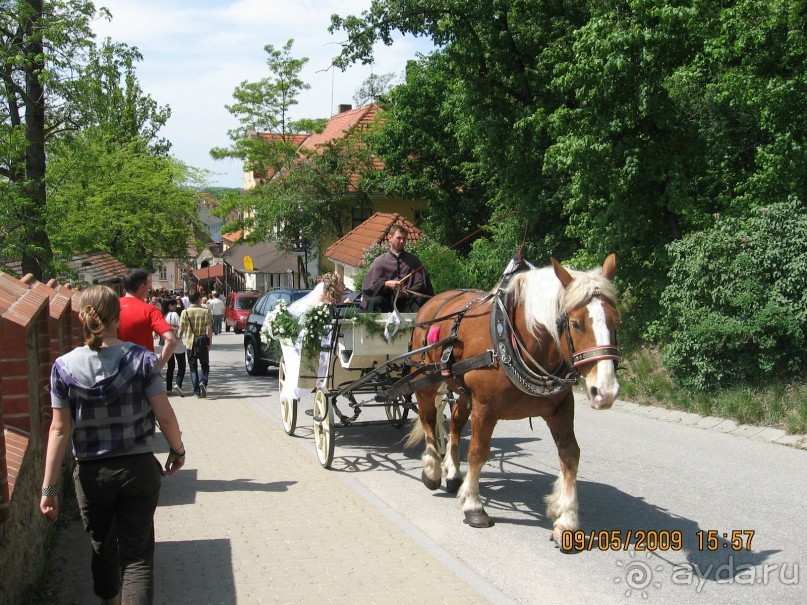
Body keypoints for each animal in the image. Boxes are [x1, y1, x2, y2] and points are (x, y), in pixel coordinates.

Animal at [408, 252, 620, 540]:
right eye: (576, 324)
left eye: (616, 320)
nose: (606, 391)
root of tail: (433, 302)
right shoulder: (485, 407)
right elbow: (478, 452)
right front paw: (473, 505)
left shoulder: (562, 407)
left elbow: (570, 455)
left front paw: (566, 517)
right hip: (425, 381)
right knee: (429, 418)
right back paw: (432, 469)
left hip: (462, 392)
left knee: (455, 424)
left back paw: (452, 472)